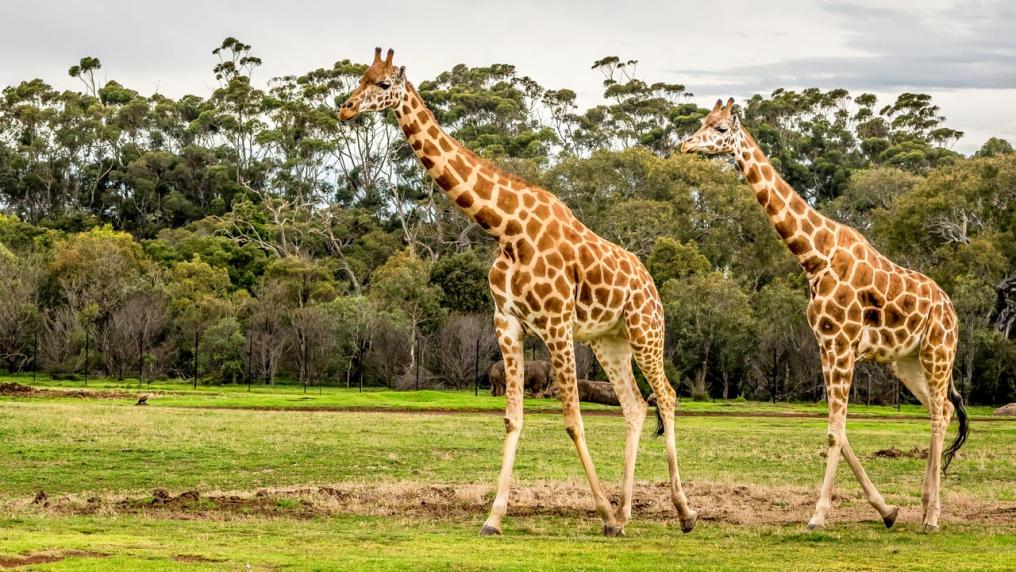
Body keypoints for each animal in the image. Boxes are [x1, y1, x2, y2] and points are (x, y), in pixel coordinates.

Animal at [339, 48, 698, 537]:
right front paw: (494, 518)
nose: (345, 108)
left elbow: (573, 420)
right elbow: (512, 417)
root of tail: (650, 282)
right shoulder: (507, 323)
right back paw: (626, 513)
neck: (507, 229)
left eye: (383, 84)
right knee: (636, 407)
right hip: (610, 341)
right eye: (361, 76)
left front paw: (602, 515)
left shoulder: (556, 324)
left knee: (667, 396)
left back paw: (683, 513)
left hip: (646, 331)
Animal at [680, 99, 970, 533]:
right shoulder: (826, 345)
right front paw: (887, 510)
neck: (815, 256)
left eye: (719, 129)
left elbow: (835, 432)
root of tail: (951, 308)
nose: (685, 145)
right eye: (702, 121)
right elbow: (840, 430)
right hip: (907, 362)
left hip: (938, 352)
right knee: (944, 410)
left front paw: (817, 517)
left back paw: (933, 517)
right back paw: (922, 507)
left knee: (939, 414)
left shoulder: (843, 344)